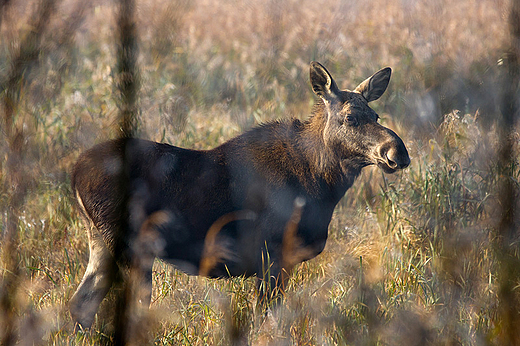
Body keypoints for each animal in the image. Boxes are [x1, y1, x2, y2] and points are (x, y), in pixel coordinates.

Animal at [69, 60, 410, 328]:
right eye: (351, 117)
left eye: (376, 116)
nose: (398, 153)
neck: (322, 184)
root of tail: (74, 173)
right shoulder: (273, 255)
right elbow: (265, 319)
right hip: (131, 248)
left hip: (100, 240)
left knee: (79, 305)